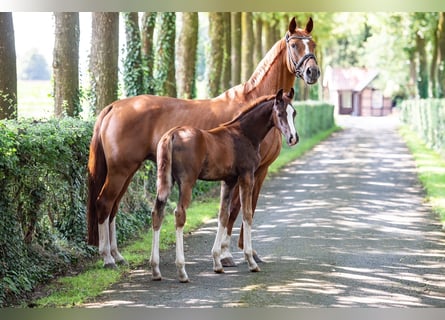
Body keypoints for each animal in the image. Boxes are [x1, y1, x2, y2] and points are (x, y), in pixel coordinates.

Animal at [151, 89, 296, 282]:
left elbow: (223, 215)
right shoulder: (246, 176)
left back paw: (155, 269)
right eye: (279, 114)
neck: (244, 134)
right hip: (187, 182)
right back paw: (182, 270)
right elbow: (247, 214)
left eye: (294, 113)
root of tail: (172, 134)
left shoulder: (229, 180)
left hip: (165, 181)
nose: (293, 138)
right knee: (179, 214)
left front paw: (218, 262)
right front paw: (251, 261)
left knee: (157, 213)